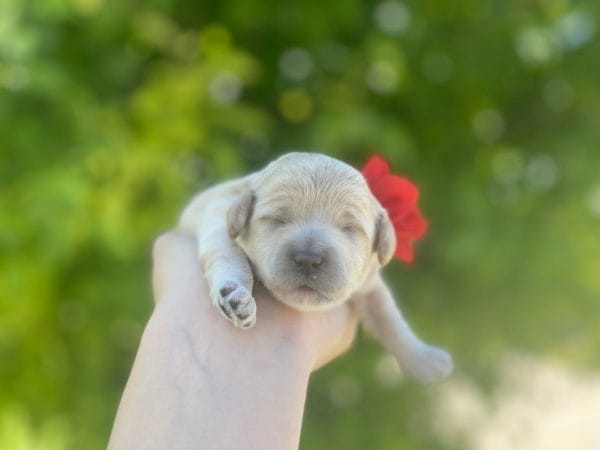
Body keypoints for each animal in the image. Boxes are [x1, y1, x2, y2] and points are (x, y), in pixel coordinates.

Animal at [180, 152, 452, 384]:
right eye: (278, 219)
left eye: (350, 228)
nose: (308, 259)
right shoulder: (216, 215)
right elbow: (228, 255)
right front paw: (235, 295)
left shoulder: (370, 286)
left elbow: (389, 318)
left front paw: (422, 358)